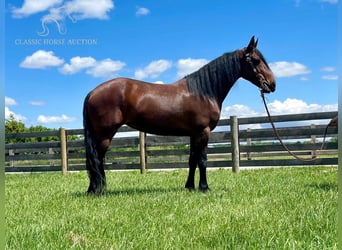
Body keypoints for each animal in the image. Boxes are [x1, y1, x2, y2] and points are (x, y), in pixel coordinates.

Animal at [84, 36, 276, 194]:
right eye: (256, 60)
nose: (272, 84)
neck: (203, 91)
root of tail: (92, 92)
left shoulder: (193, 134)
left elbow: (192, 160)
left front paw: (190, 186)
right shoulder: (203, 131)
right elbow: (203, 160)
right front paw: (204, 187)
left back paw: (94, 189)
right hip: (105, 134)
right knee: (97, 159)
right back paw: (97, 190)